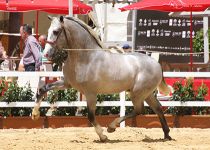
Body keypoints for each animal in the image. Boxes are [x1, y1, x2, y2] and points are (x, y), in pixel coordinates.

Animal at [31, 15, 172, 141]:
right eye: (48, 31)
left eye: (56, 31)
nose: (46, 54)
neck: (85, 58)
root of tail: (157, 64)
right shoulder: (67, 84)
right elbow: (43, 89)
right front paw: (35, 114)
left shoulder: (90, 93)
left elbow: (90, 116)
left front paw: (103, 136)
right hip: (146, 94)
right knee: (158, 108)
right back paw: (166, 135)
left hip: (137, 93)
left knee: (139, 110)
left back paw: (111, 127)